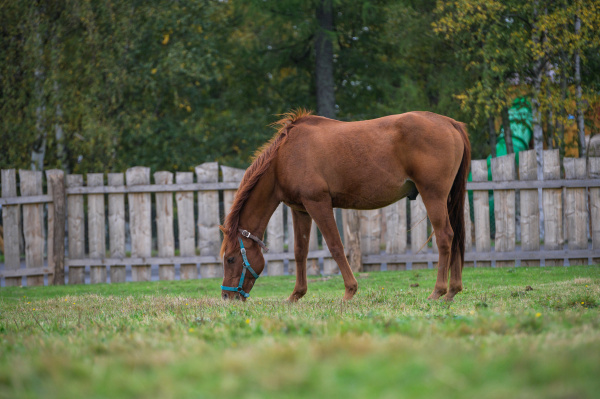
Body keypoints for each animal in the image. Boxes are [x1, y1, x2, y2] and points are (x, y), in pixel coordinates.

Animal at [218, 109, 472, 304]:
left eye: (230, 259)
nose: (227, 297)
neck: (285, 157)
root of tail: (450, 123)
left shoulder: (318, 203)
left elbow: (336, 246)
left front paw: (350, 291)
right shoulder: (300, 210)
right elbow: (300, 251)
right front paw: (296, 295)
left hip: (433, 195)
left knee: (445, 237)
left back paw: (438, 291)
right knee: (456, 237)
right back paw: (453, 290)